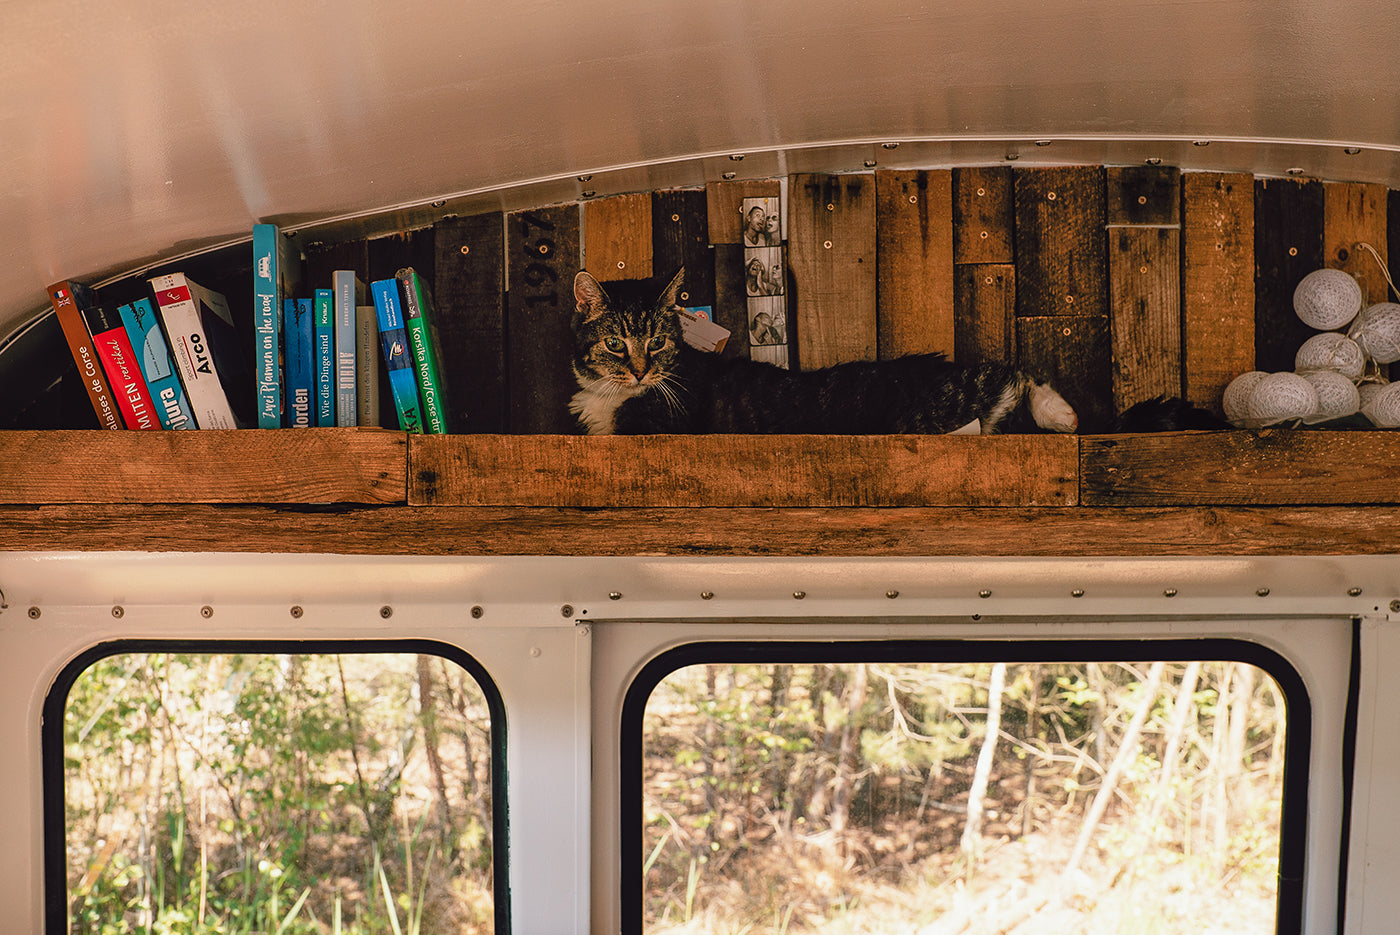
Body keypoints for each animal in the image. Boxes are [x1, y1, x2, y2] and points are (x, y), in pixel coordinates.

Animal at [565, 265, 1069, 433]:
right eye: (614, 343)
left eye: (656, 341)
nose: (638, 371)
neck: (613, 397)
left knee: (1010, 373)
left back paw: (1062, 414)